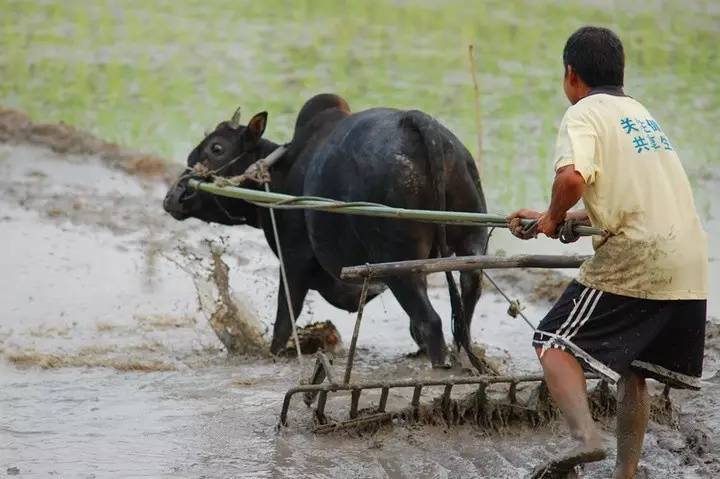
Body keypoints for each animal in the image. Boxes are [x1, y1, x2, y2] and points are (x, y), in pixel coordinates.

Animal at [164, 93, 490, 368]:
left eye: (216, 148)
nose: (174, 197)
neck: (280, 170)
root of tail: (417, 123)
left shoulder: (292, 261)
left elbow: (284, 321)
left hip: (399, 262)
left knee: (430, 321)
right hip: (470, 242)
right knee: (465, 305)